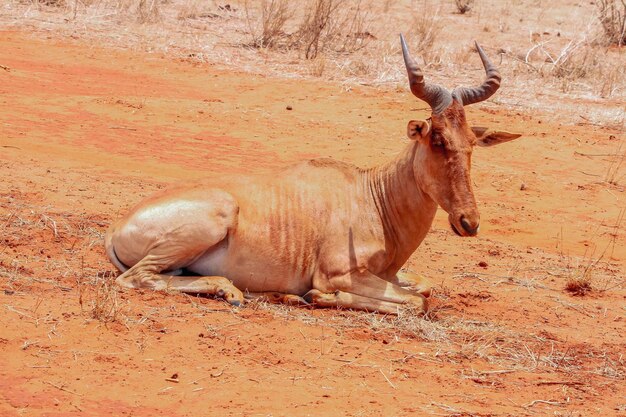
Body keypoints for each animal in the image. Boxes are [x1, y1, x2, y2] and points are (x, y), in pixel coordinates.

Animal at [105, 37, 520, 314]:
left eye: (470, 142)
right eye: (436, 138)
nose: (468, 222)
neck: (372, 195)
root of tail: (116, 227)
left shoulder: (389, 273)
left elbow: (425, 288)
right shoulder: (339, 272)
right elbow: (416, 302)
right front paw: (318, 296)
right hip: (208, 223)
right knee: (137, 278)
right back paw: (234, 292)